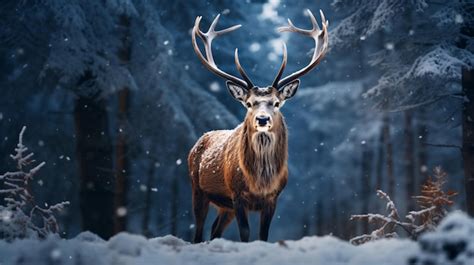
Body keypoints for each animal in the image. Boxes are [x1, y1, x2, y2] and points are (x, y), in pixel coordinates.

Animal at [187, 9, 328, 242]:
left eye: (277, 103)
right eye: (249, 103)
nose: (262, 119)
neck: (259, 182)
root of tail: (199, 140)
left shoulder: (273, 198)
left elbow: (263, 235)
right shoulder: (237, 195)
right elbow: (245, 233)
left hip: (224, 207)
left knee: (215, 230)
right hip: (197, 189)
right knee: (198, 231)